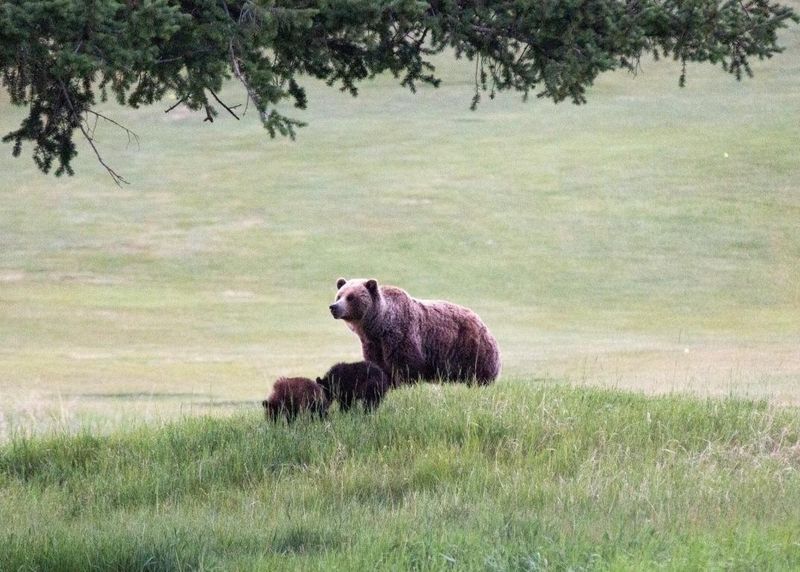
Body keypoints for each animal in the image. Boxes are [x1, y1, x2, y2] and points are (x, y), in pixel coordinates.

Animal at [328, 280, 496, 386]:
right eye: (339, 295)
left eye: (351, 297)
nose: (334, 307)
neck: (378, 326)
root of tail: (480, 320)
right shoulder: (373, 344)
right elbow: (378, 365)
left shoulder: (401, 335)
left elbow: (407, 365)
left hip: (468, 348)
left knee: (478, 372)